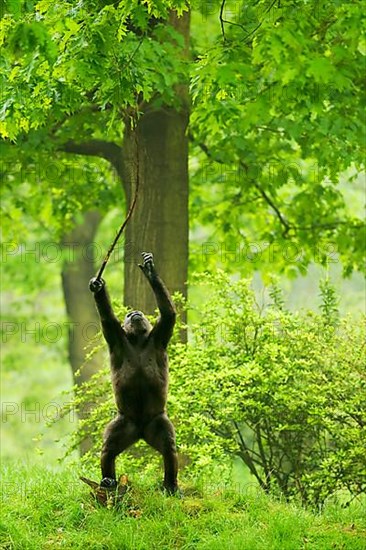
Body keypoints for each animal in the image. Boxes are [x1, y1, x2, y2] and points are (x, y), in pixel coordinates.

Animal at [90, 253, 179, 496]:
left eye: (135, 313)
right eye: (128, 314)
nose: (134, 313)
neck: (138, 339)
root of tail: (140, 432)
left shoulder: (160, 334)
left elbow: (169, 314)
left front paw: (150, 271)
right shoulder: (115, 336)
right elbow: (107, 318)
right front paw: (98, 288)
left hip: (157, 422)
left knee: (168, 446)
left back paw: (171, 484)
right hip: (123, 423)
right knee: (109, 448)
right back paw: (108, 481)